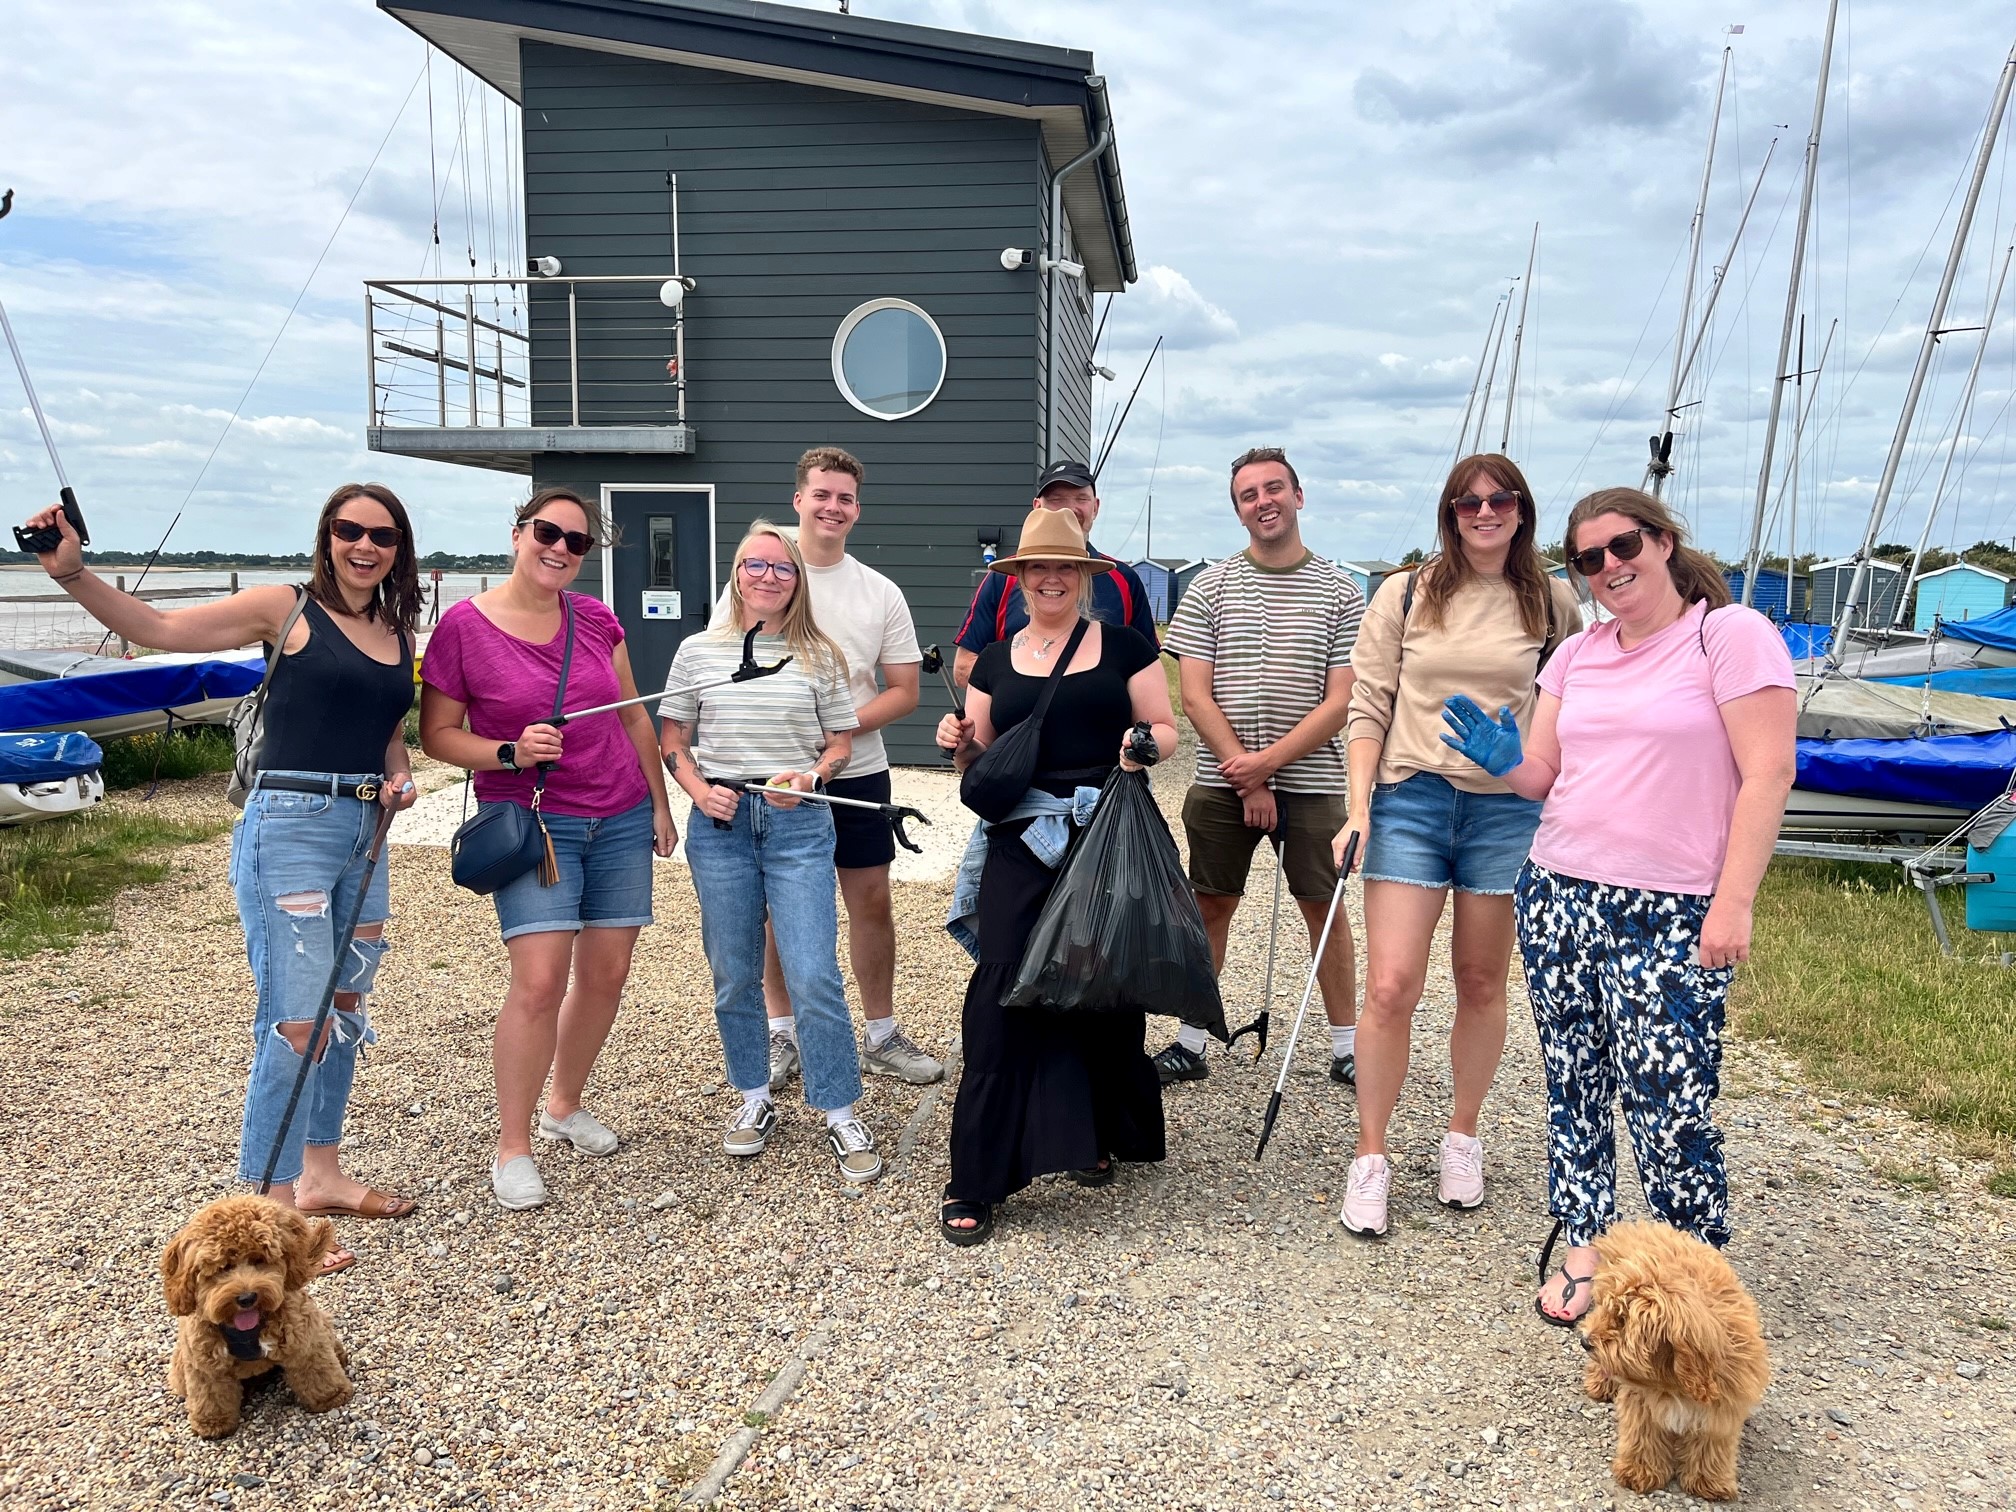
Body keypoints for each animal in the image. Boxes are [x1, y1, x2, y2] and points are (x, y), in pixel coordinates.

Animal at [159, 1193, 352, 1443]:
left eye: (259, 1259)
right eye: (223, 1267)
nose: (247, 1297)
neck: (245, 1331)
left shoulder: (303, 1340)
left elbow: (318, 1369)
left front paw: (332, 1396)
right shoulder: (204, 1363)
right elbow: (209, 1395)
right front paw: (213, 1423)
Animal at [1580, 1217, 1774, 1507]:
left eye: (1622, 1320)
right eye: (1612, 1312)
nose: (1585, 1341)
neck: (1674, 1379)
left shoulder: (1721, 1409)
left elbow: (1711, 1446)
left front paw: (1709, 1482)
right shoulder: (1642, 1403)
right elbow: (1643, 1436)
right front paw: (1638, 1472)